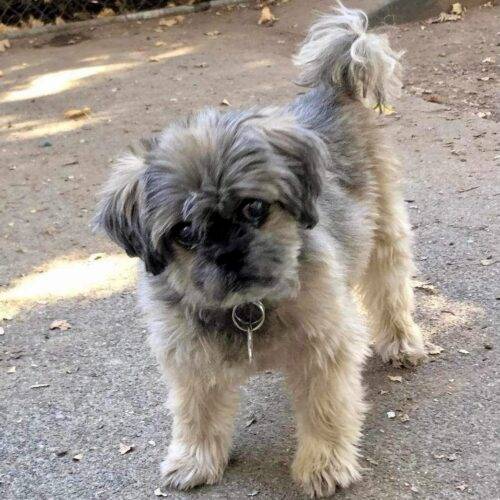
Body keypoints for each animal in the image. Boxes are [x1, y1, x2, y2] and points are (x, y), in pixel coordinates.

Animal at [94, 2, 430, 496]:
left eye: (254, 208)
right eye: (185, 232)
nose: (229, 256)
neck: (247, 308)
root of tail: (332, 88)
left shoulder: (323, 350)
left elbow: (325, 411)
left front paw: (323, 464)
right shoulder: (189, 358)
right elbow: (195, 413)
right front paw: (195, 459)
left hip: (384, 234)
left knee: (390, 288)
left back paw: (401, 340)